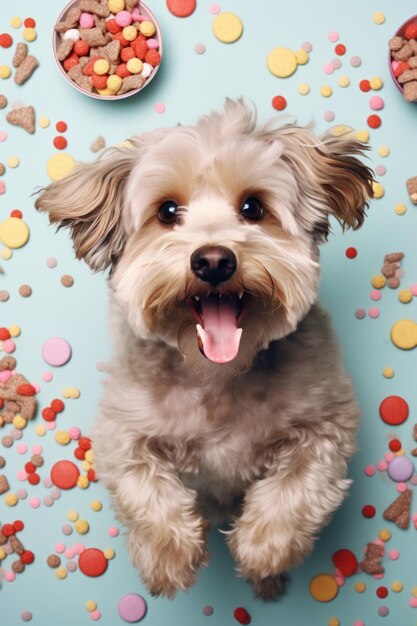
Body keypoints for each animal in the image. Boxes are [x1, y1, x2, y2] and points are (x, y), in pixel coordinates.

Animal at [35, 100, 374, 596]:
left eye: (253, 207)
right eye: (167, 211)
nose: (213, 260)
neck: (219, 374)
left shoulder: (326, 424)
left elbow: (298, 486)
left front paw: (262, 548)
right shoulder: (123, 430)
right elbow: (144, 489)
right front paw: (168, 557)